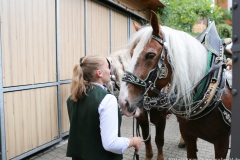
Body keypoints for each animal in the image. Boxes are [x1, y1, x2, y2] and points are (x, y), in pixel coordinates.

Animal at [119, 10, 232, 159]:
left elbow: (159, 140)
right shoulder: (143, 116)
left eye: (150, 55)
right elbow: (147, 138)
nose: (123, 101)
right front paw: (149, 155)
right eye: (131, 53)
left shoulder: (221, 143)